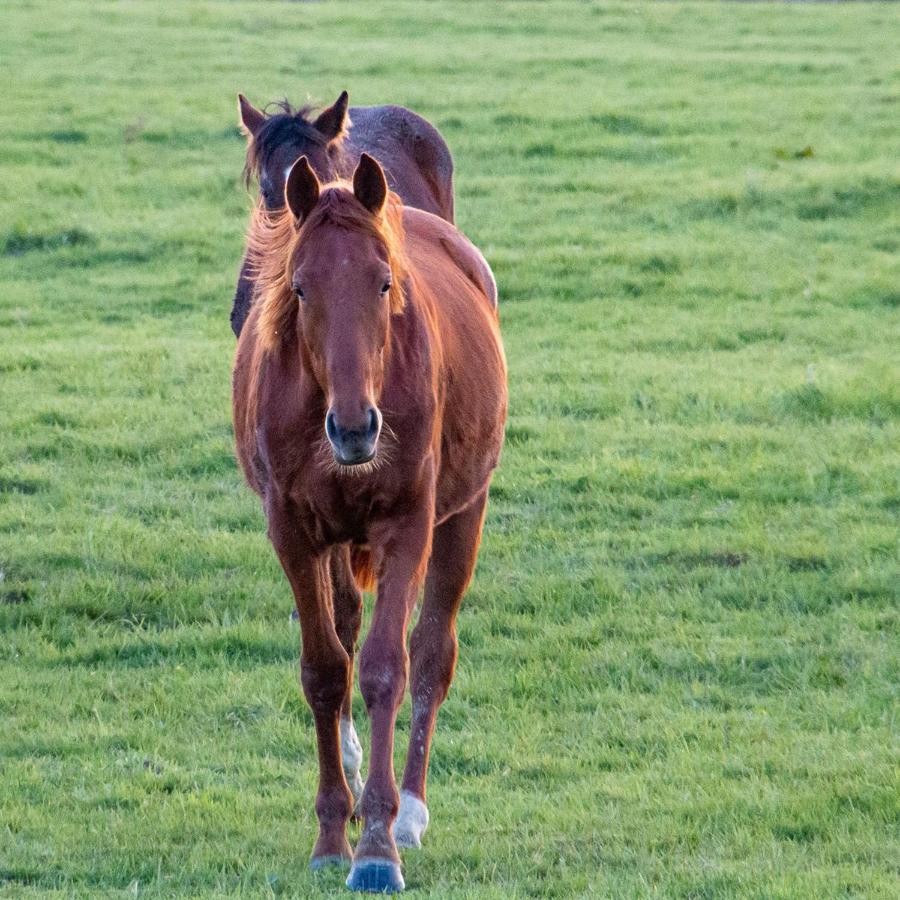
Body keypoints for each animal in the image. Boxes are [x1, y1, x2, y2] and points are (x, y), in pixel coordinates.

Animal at [232, 151, 506, 888]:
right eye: (300, 289)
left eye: (384, 283)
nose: (355, 429)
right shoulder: (293, 534)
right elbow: (326, 670)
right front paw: (333, 835)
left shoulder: (407, 527)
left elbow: (389, 668)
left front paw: (378, 847)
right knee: (350, 631)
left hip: (461, 517)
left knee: (432, 651)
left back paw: (408, 812)